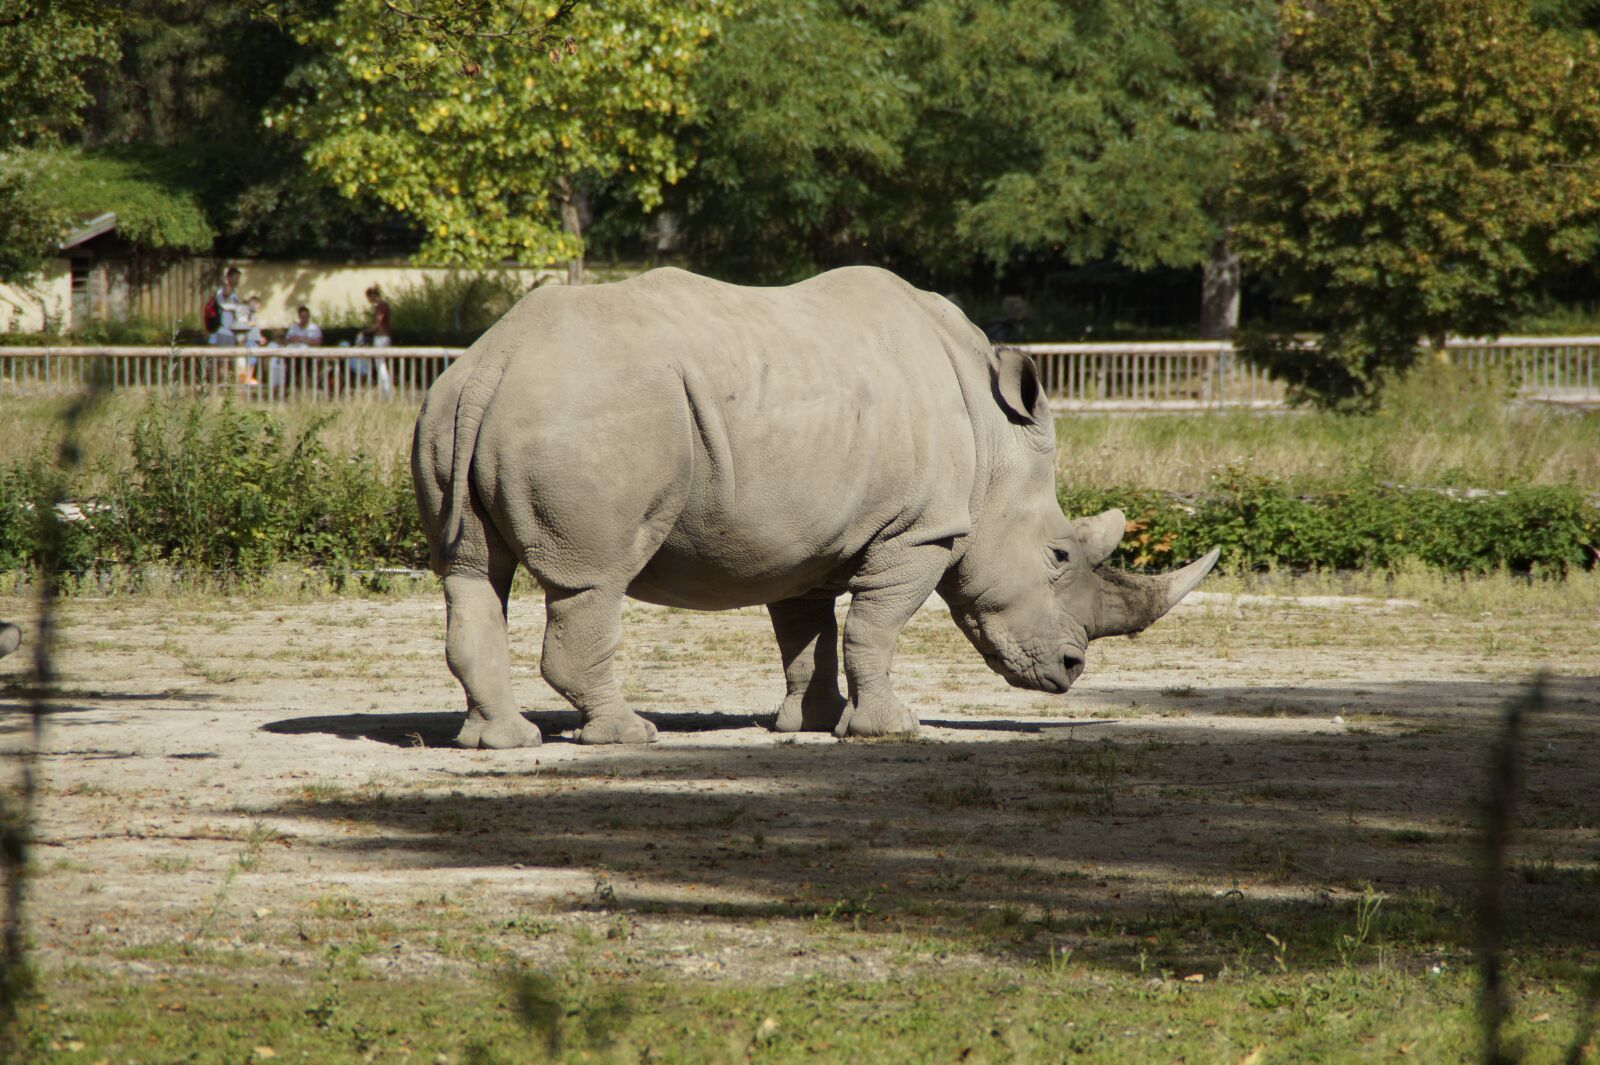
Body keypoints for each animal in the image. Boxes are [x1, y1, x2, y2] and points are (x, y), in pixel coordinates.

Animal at [411, 266, 1218, 747]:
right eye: (1058, 554)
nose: (1073, 667)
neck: (995, 446)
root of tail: (494, 363)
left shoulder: (801, 541)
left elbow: (809, 635)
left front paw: (810, 723)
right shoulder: (919, 533)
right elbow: (873, 629)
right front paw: (890, 729)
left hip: (454, 405)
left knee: (472, 572)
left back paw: (501, 742)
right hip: (589, 413)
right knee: (593, 581)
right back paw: (627, 735)